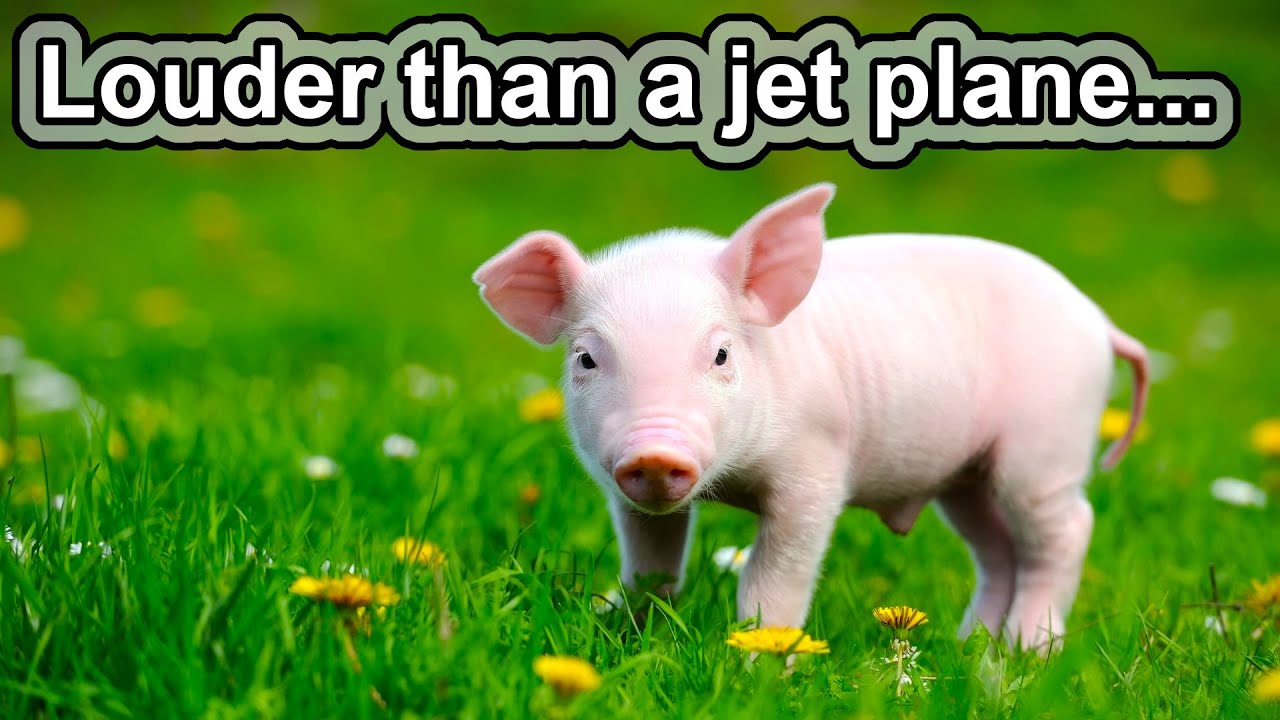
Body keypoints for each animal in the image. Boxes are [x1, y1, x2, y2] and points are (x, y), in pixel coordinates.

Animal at [472, 184, 1149, 650]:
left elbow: (774, 578)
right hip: (967, 477)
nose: (655, 452)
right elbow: (650, 565)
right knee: (998, 550)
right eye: (585, 357)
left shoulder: (815, 469)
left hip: (1045, 446)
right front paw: (619, 627)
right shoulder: (627, 495)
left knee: (1066, 530)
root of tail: (1099, 321)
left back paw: (1027, 650)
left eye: (721, 354)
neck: (732, 480)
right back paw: (967, 647)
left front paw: (760, 660)